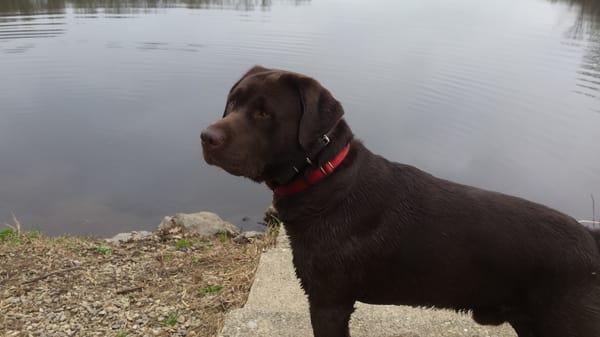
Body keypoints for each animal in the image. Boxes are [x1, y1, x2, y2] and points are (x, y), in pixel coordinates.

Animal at [203, 66, 600, 336]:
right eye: (233, 102)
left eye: (264, 113)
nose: (206, 137)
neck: (326, 177)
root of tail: (589, 241)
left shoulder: (329, 302)